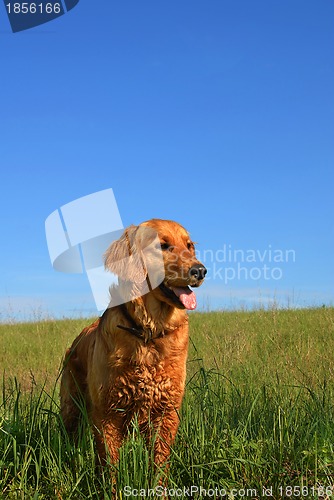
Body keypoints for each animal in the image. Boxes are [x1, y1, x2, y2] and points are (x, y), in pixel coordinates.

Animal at [60, 218, 206, 468]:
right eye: (162, 246)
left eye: (189, 246)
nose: (200, 270)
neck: (148, 331)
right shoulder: (107, 413)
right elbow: (110, 466)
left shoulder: (166, 411)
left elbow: (159, 464)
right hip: (71, 406)